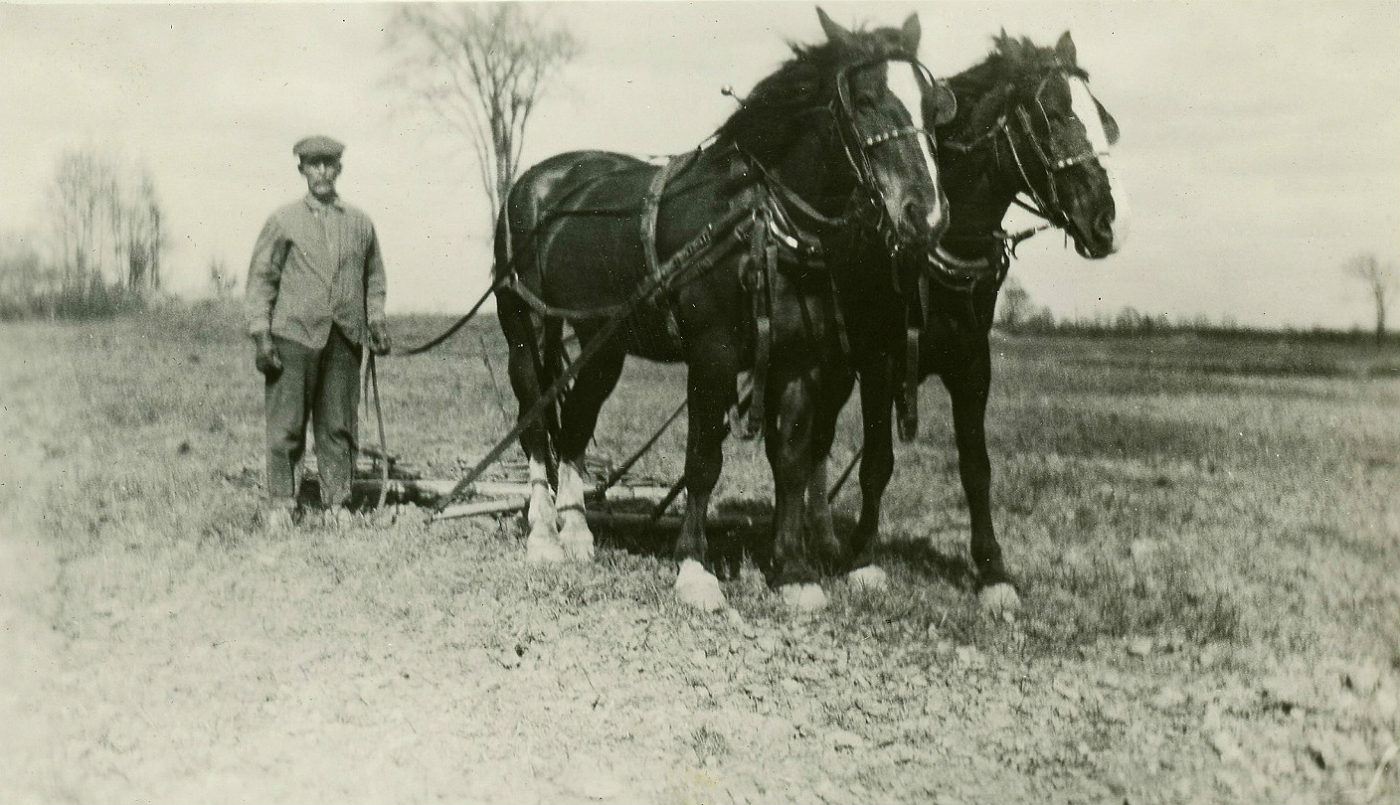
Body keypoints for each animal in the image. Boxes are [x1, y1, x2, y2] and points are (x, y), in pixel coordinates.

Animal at [491, 8, 957, 612]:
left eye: (932, 104)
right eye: (865, 99)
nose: (927, 215)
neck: (760, 221)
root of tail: (533, 181)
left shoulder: (798, 362)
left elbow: (792, 461)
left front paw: (794, 570)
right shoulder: (711, 356)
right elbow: (703, 461)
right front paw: (694, 567)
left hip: (602, 342)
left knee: (574, 424)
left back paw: (576, 532)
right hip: (526, 331)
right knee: (534, 419)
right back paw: (545, 534)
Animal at [830, 31, 1126, 614]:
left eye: (1104, 119)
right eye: (1051, 115)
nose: (1107, 224)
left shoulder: (972, 364)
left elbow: (976, 468)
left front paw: (992, 569)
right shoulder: (879, 362)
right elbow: (876, 463)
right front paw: (861, 555)